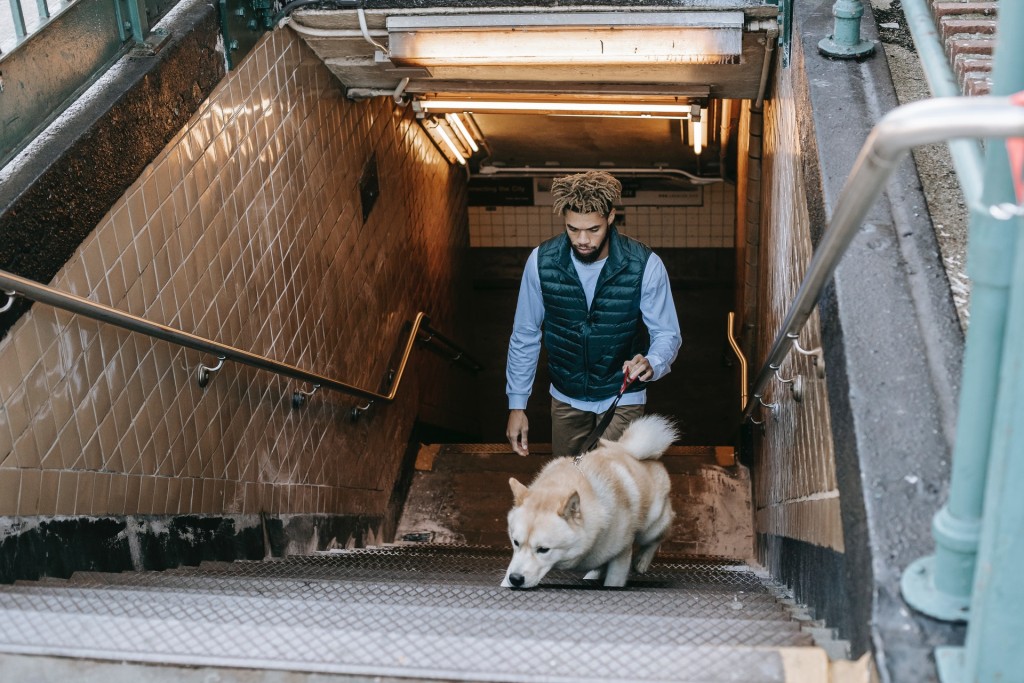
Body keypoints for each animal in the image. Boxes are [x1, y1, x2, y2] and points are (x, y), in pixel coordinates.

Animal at [499, 413, 675, 589]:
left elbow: (613, 581)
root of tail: (632, 452)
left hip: (650, 528)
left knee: (660, 535)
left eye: (543, 549)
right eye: (515, 542)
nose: (515, 579)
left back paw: (642, 561)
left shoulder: (621, 554)